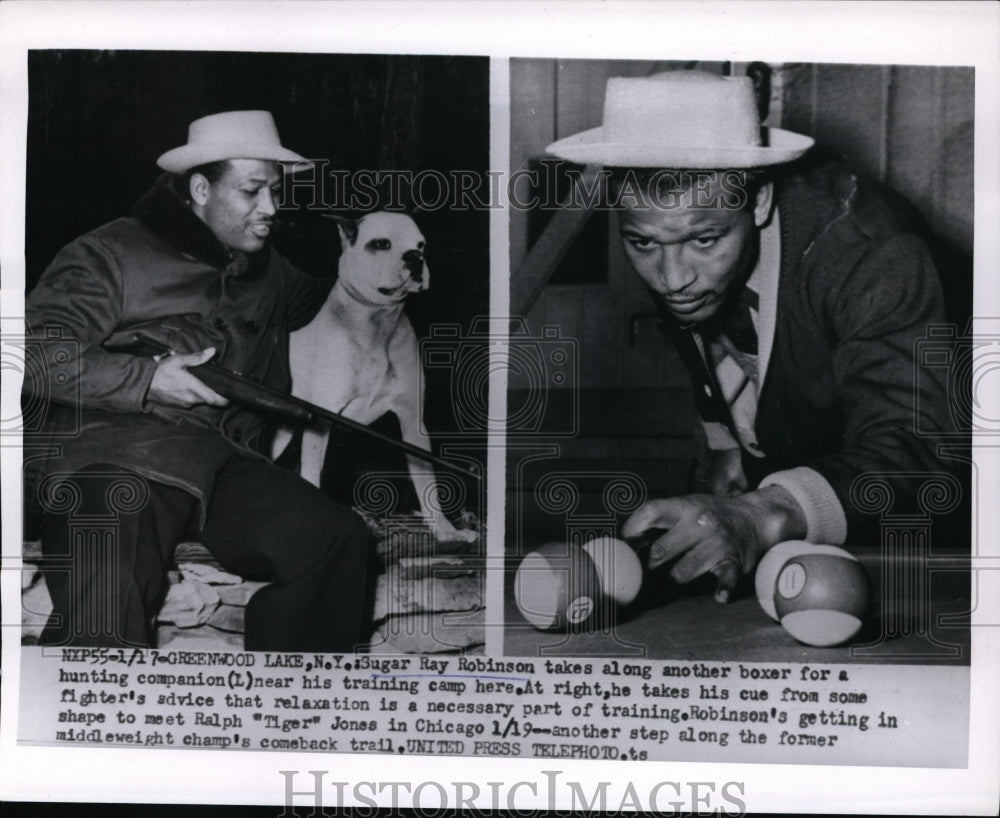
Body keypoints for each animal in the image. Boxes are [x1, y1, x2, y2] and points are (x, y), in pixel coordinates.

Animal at [274, 210, 476, 540]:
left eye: (421, 244)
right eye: (381, 243)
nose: (415, 258)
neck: (377, 322)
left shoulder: (412, 422)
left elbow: (427, 482)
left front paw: (446, 531)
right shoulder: (321, 419)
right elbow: (312, 473)